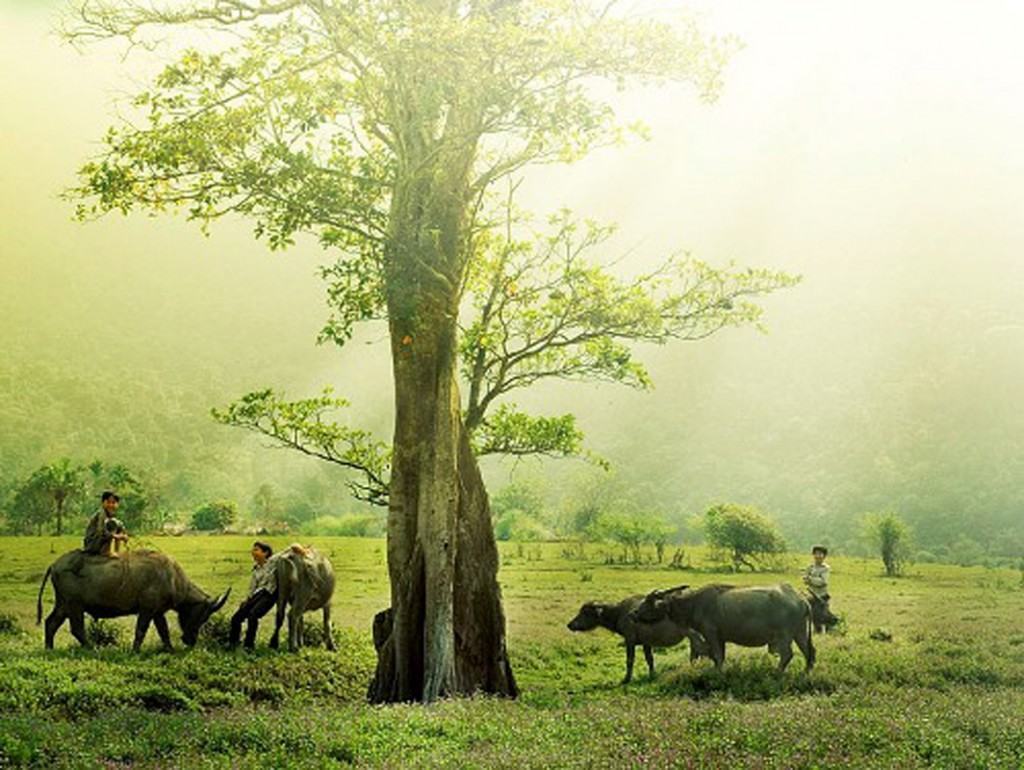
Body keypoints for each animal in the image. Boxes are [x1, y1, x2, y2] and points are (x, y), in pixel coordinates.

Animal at [36, 548, 230, 651]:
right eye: (202, 616)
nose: (191, 641)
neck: (172, 577)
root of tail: (55, 565)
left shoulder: (157, 612)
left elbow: (164, 631)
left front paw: (170, 649)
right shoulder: (147, 610)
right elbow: (141, 630)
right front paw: (135, 650)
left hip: (63, 604)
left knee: (51, 623)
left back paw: (49, 648)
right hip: (74, 605)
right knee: (77, 629)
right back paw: (92, 648)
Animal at [569, 585, 712, 683]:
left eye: (585, 613)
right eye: (581, 611)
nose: (570, 625)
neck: (620, 613)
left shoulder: (629, 640)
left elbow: (629, 660)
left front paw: (626, 679)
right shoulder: (646, 643)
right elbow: (650, 659)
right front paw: (652, 675)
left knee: (697, 649)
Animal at [626, 581, 811, 671]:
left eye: (649, 601)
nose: (633, 613)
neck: (695, 604)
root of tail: (801, 599)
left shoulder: (711, 634)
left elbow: (717, 656)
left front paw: (718, 674)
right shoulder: (720, 638)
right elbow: (719, 657)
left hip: (784, 636)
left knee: (787, 655)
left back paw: (777, 673)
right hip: (800, 633)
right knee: (809, 653)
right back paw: (805, 673)